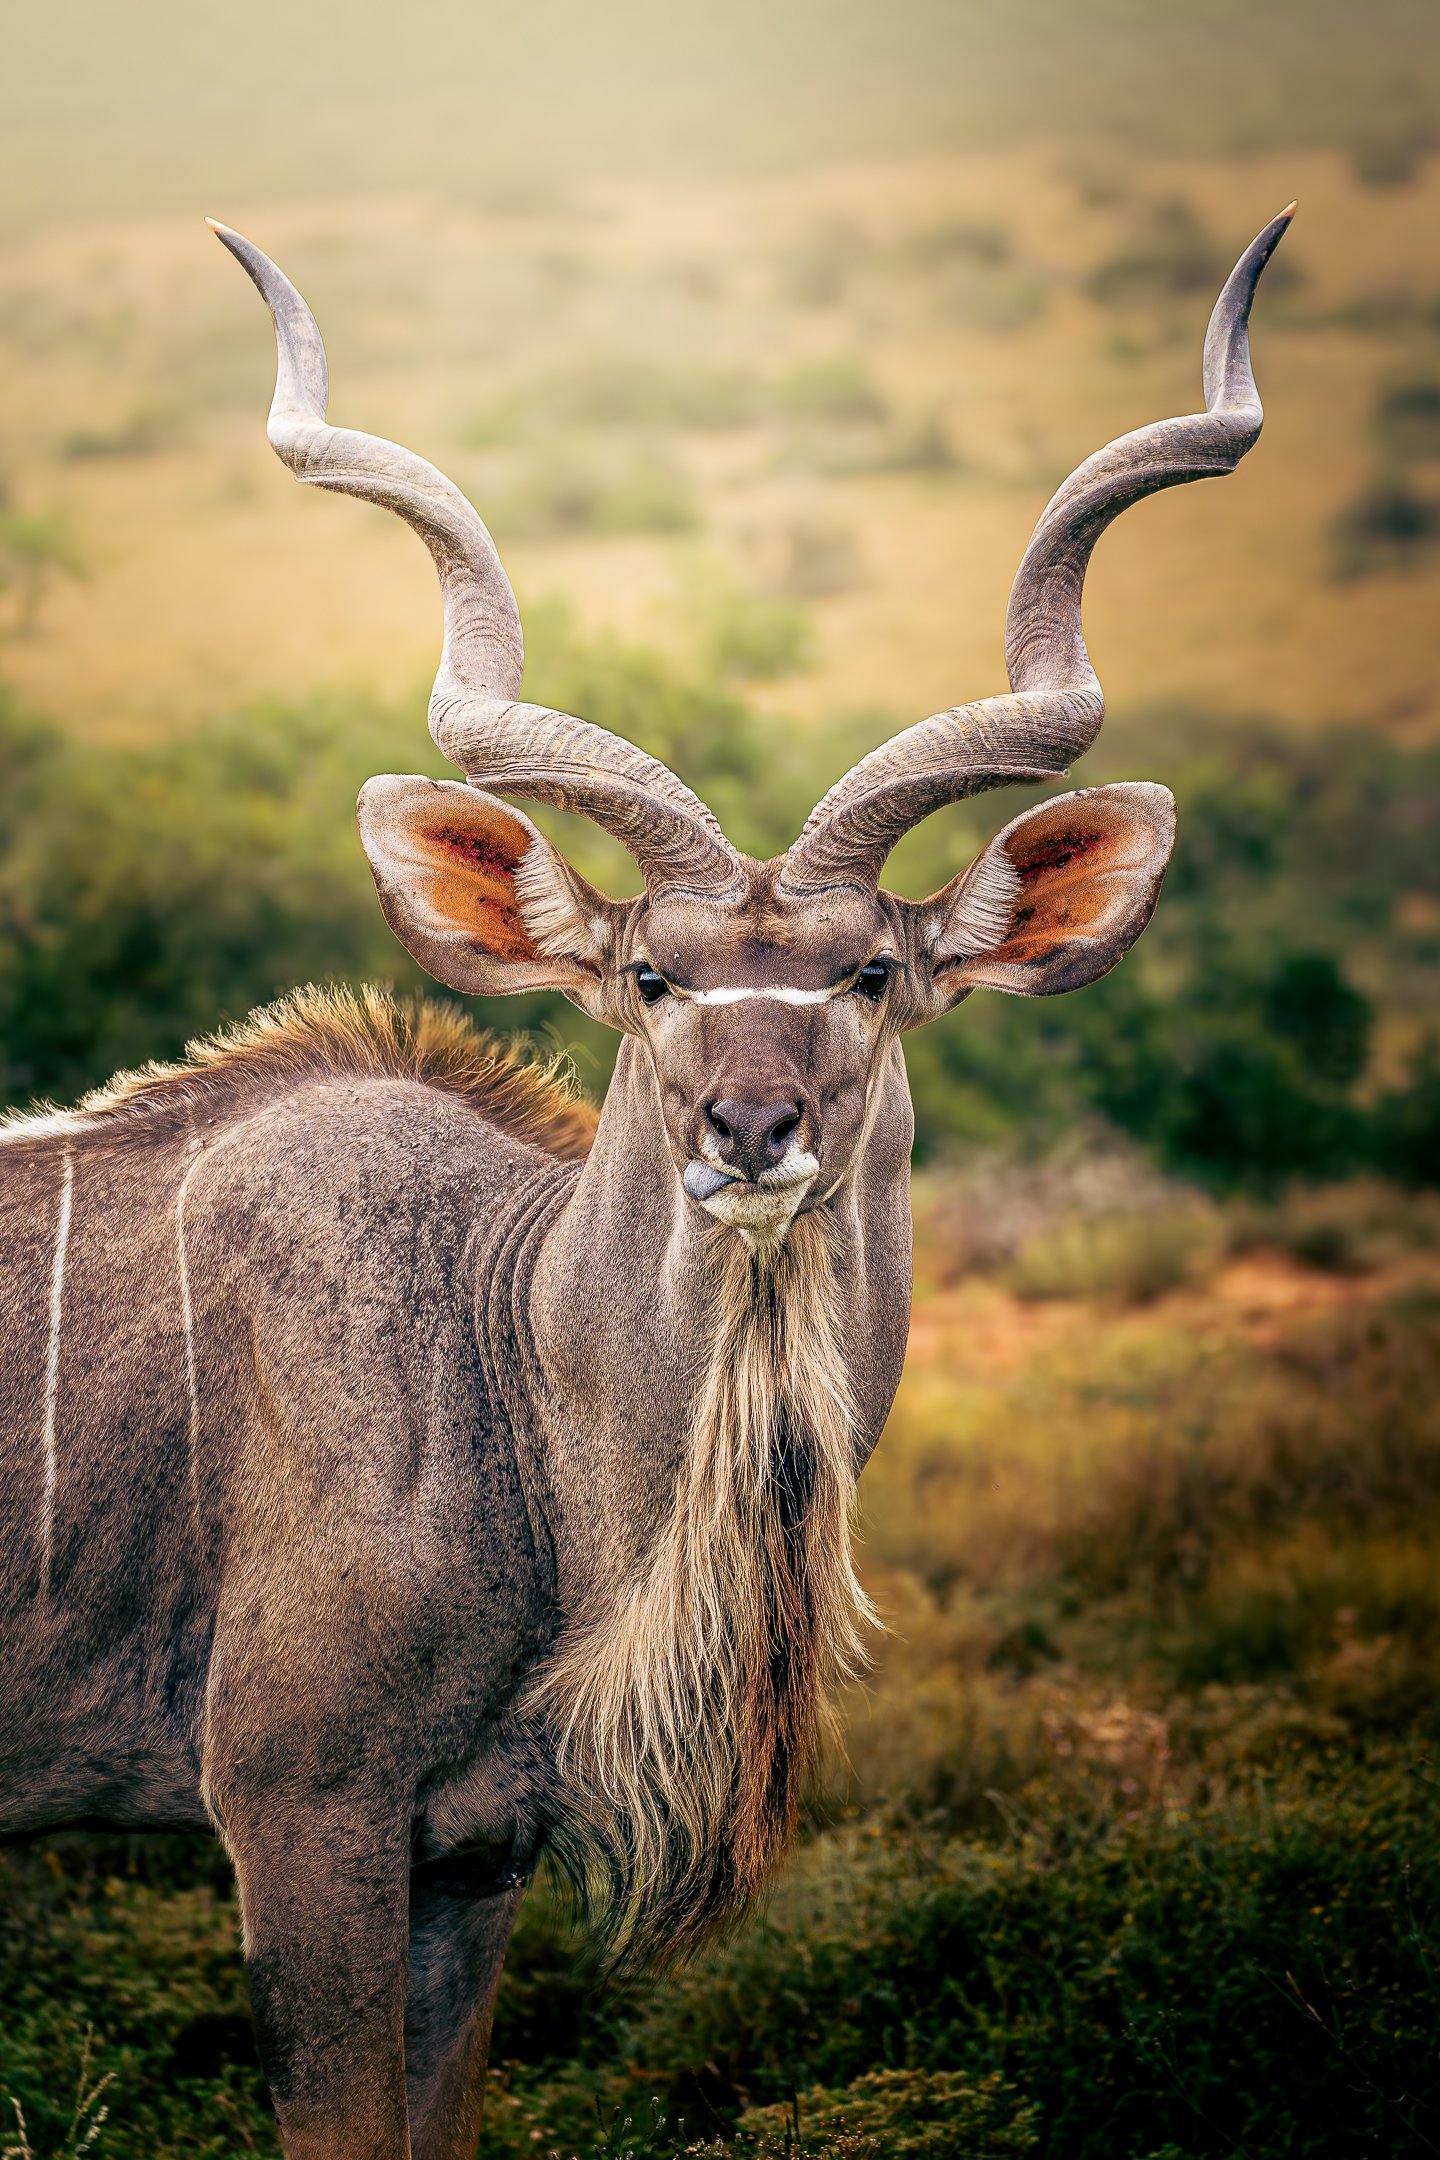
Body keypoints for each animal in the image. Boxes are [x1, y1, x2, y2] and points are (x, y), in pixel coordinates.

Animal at [0, 206, 1291, 2158]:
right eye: (652, 978)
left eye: (870, 973)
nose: (749, 1132)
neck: (504, 1375)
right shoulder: (300, 1810)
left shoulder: (472, 1860)